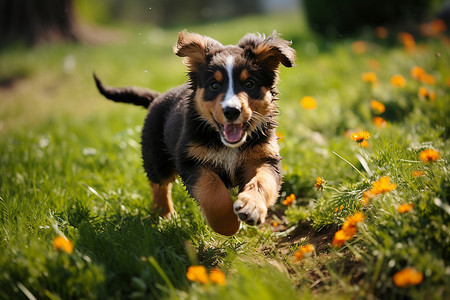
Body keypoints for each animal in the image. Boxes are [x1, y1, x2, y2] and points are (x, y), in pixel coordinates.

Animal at [94, 30, 296, 237]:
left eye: (249, 84)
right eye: (214, 85)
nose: (232, 111)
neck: (226, 143)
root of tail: (157, 97)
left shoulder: (265, 157)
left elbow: (262, 182)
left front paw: (251, 207)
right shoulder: (191, 160)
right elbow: (212, 189)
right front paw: (228, 225)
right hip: (156, 156)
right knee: (159, 185)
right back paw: (164, 216)